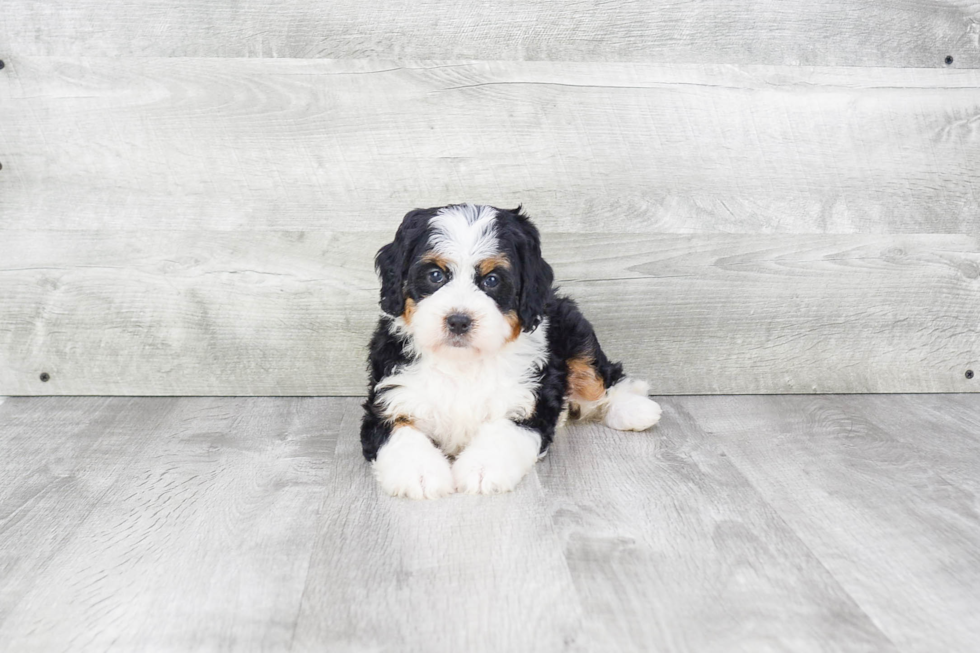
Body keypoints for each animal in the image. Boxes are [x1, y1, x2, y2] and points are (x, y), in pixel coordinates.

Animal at [356, 204, 664, 500]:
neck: (463, 363)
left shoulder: (528, 401)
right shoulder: (390, 399)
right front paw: (420, 474)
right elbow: (401, 434)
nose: (458, 321)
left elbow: (503, 432)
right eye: (435, 275)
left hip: (574, 330)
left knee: (601, 378)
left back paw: (635, 408)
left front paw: (482, 469)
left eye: (492, 280)